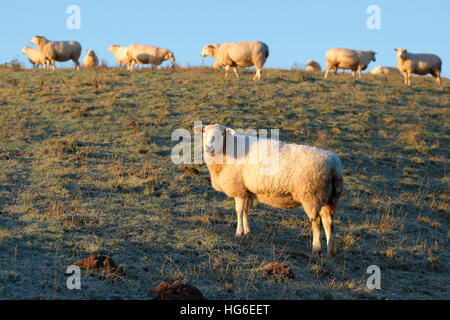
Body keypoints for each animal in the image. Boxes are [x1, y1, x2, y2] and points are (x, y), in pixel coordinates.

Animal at [194, 124, 344, 256]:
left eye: (222, 134)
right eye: (204, 133)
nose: (208, 148)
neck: (228, 149)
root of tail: (333, 165)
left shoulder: (239, 189)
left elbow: (239, 211)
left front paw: (238, 233)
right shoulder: (246, 190)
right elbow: (245, 211)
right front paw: (247, 231)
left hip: (311, 196)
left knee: (316, 222)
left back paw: (316, 248)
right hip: (328, 198)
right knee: (328, 222)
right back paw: (331, 250)